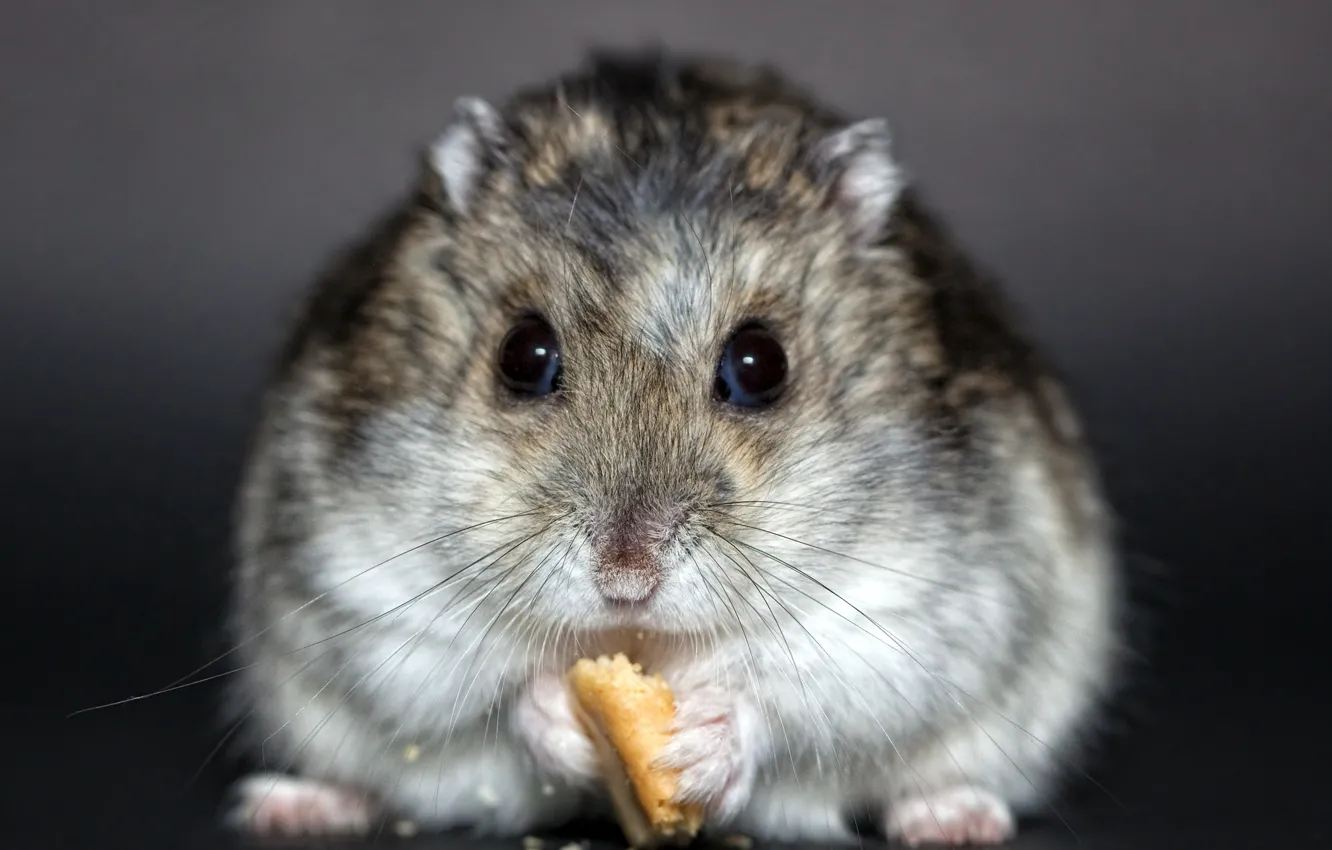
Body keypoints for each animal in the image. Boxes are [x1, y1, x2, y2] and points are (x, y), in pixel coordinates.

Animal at [224, 51, 1122, 846]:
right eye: (522, 355)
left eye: (760, 365)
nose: (627, 581)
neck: (645, 642)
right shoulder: (369, 591)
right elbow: (487, 689)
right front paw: (562, 715)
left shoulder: (913, 608)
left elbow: (796, 693)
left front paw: (699, 744)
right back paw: (291, 806)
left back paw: (953, 819)